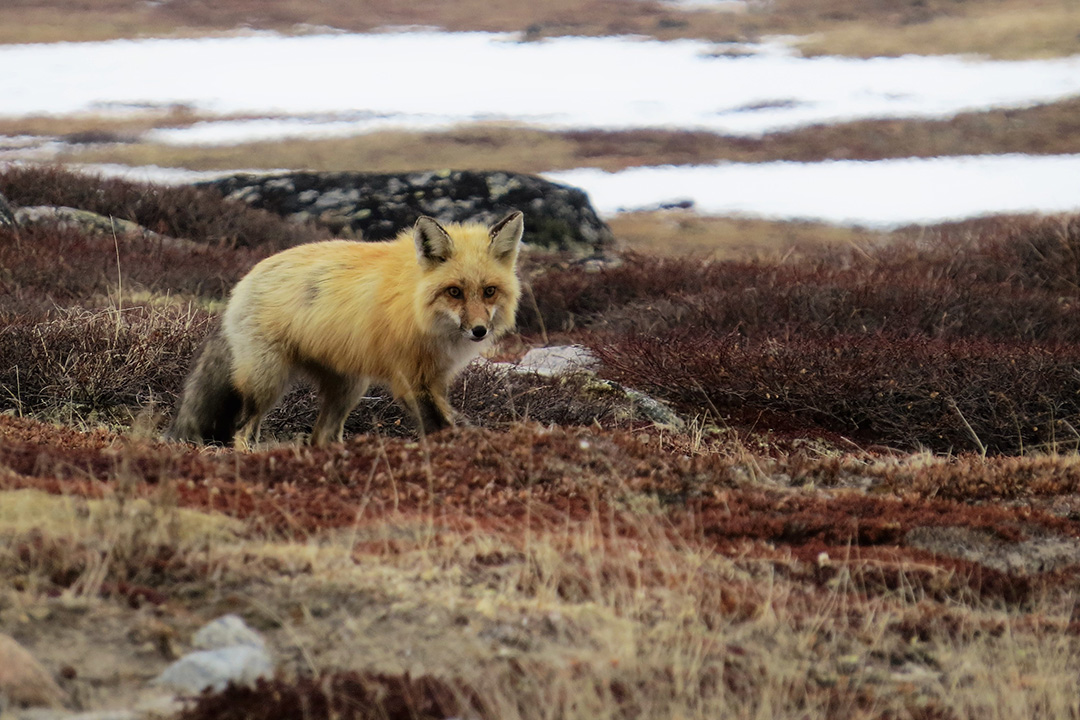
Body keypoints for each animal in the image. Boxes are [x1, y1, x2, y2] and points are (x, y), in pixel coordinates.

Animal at [166, 208, 524, 446]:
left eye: (489, 291)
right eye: (454, 292)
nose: (479, 331)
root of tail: (243, 281)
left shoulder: (434, 377)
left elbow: (445, 420)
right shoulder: (410, 378)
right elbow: (438, 425)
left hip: (348, 387)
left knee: (321, 436)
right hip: (267, 381)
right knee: (243, 429)